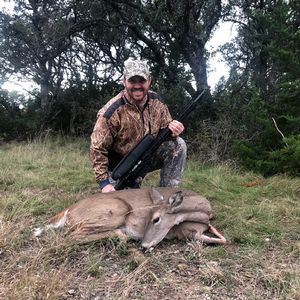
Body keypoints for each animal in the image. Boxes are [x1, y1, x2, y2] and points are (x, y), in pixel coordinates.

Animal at [33, 188, 225, 248]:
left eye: (156, 219)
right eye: (151, 218)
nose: (144, 245)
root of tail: (69, 209)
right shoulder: (186, 233)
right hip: (118, 209)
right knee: (71, 236)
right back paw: (121, 234)